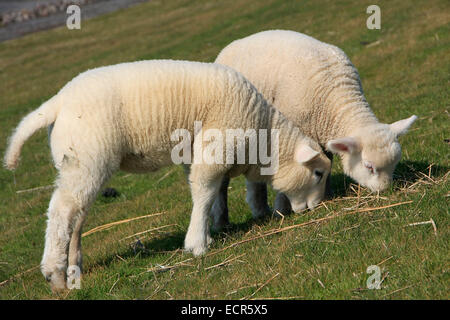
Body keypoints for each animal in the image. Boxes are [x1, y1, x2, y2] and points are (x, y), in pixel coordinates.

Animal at [4, 59, 330, 290]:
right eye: (317, 173)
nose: (317, 208)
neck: (262, 136)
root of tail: (56, 103)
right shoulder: (217, 143)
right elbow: (205, 191)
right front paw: (197, 245)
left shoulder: (197, 150)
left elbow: (204, 192)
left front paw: (205, 235)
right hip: (86, 156)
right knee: (61, 211)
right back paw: (54, 274)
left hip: (82, 163)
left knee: (77, 213)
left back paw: (73, 267)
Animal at [213, 30, 416, 225]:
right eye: (369, 166)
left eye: (395, 164)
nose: (386, 190)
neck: (336, 97)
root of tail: (232, 45)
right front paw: (282, 209)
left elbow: (327, 162)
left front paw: (326, 194)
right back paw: (223, 221)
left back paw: (259, 210)